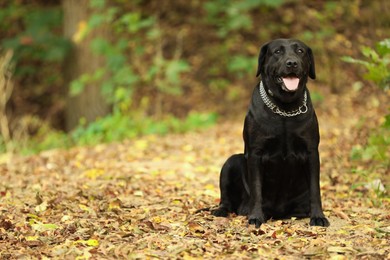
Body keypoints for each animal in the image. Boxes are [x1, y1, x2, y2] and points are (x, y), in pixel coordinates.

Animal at [213, 38, 330, 228]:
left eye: (300, 51)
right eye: (277, 52)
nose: (292, 63)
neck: (285, 108)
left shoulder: (312, 152)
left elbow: (315, 188)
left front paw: (318, 216)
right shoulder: (255, 153)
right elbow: (256, 188)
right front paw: (255, 216)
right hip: (231, 162)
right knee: (226, 198)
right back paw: (222, 211)